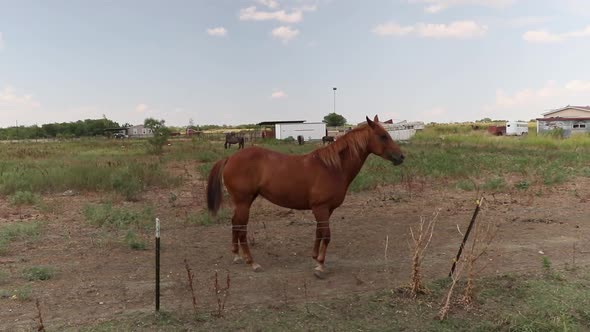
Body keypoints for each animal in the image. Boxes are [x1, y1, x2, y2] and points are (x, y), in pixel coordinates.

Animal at [208, 115, 408, 278]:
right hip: (244, 201)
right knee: (242, 228)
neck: (332, 167)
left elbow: (319, 233)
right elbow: (326, 235)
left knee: (235, 223)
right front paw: (320, 266)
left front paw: (315, 258)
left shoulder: (326, 210)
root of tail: (230, 158)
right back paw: (252, 262)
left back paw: (236, 255)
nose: (401, 157)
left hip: (243, 202)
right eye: (383, 136)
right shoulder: (321, 208)